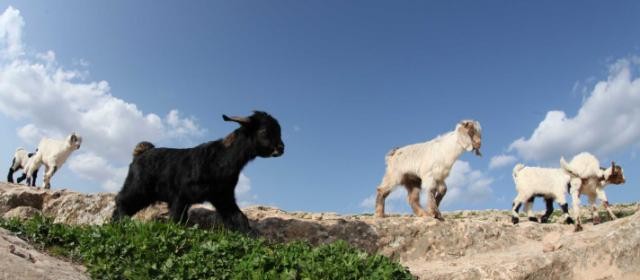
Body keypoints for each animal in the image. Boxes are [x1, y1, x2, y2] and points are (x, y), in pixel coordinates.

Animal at [112, 110, 284, 233]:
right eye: (264, 132)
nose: (281, 148)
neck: (221, 158)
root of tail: (140, 153)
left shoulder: (223, 196)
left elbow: (238, 217)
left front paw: (249, 235)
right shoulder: (180, 195)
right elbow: (176, 218)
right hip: (138, 186)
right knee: (121, 200)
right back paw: (119, 223)